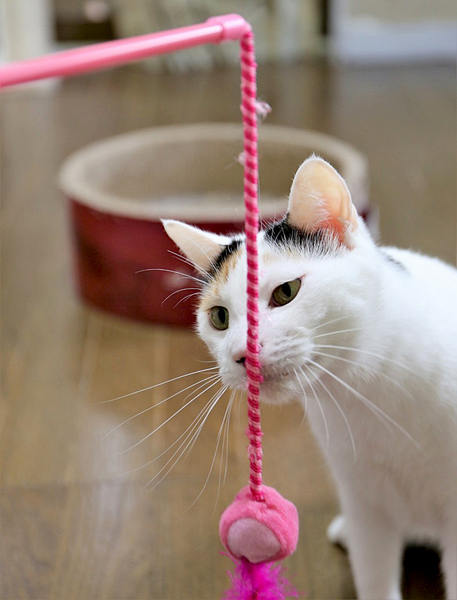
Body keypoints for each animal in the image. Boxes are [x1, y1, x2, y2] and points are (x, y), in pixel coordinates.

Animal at [163, 156, 457, 600]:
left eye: (286, 292)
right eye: (219, 317)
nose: (240, 355)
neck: (369, 392)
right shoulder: (364, 501)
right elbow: (374, 574)